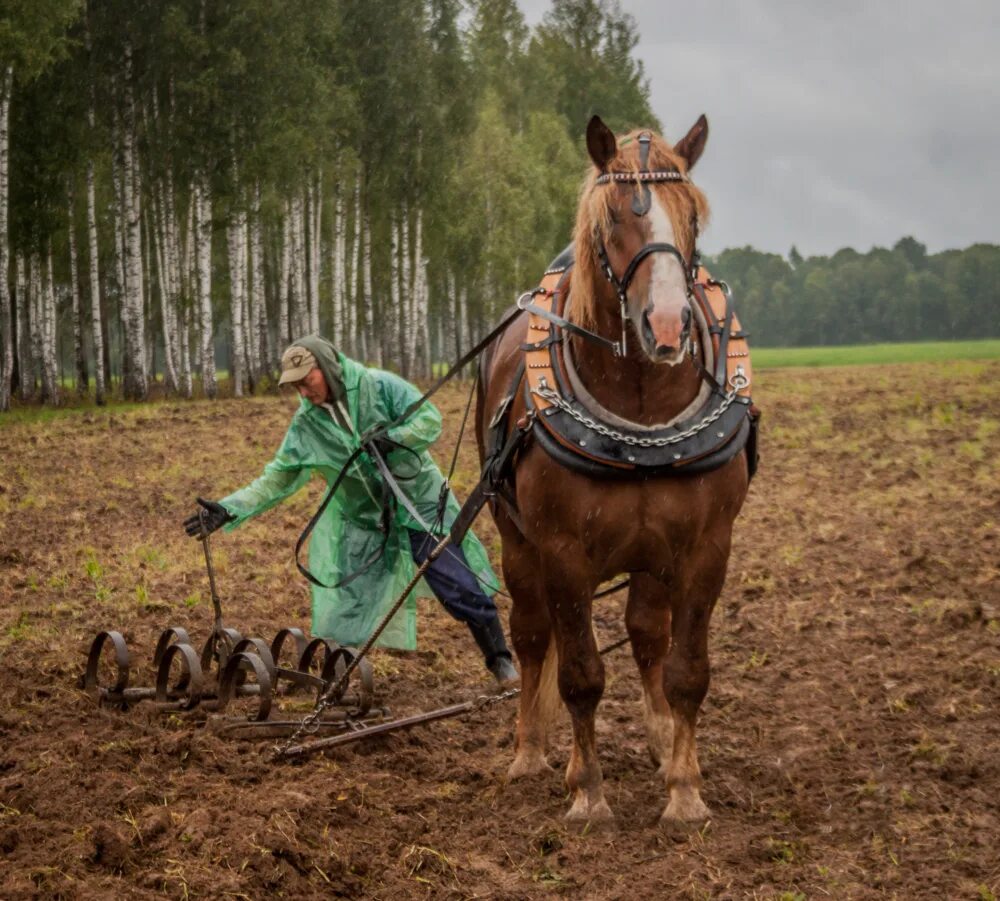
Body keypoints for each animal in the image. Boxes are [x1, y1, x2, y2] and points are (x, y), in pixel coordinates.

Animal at [474, 114, 752, 828]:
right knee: (532, 635)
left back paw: (659, 741)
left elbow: (687, 670)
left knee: (647, 635)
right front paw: (589, 792)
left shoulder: (707, 548)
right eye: (613, 221)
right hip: (518, 544)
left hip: (652, 558)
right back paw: (530, 751)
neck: (640, 416)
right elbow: (580, 675)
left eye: (692, 217)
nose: (668, 325)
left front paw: (684, 791)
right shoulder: (563, 554)